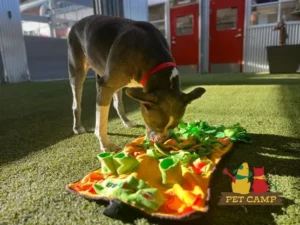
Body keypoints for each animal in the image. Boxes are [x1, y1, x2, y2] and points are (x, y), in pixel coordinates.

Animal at [67, 14, 206, 151]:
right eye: (155, 125)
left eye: (174, 126)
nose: (162, 141)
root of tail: (77, 23)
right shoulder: (106, 85)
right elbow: (101, 122)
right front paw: (106, 145)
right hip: (78, 72)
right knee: (76, 102)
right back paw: (77, 127)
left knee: (117, 103)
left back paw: (126, 121)